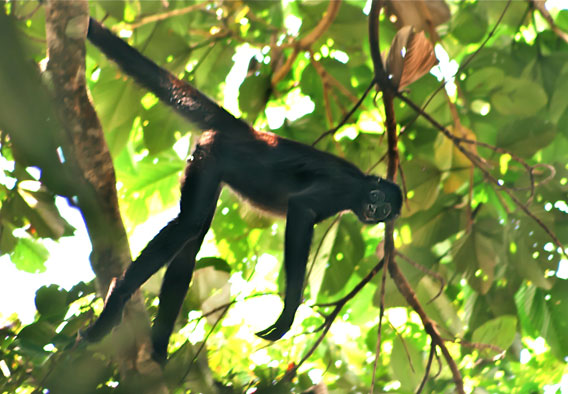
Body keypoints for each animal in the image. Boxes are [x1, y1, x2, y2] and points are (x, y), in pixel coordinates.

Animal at [83, 17, 404, 364]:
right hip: (211, 155)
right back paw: (118, 297)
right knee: (189, 226)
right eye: (376, 199)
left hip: (205, 167)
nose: (373, 210)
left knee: (190, 245)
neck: (360, 187)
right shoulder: (340, 189)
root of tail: (246, 132)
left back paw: (158, 345)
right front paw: (288, 314)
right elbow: (301, 209)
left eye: (385, 211)